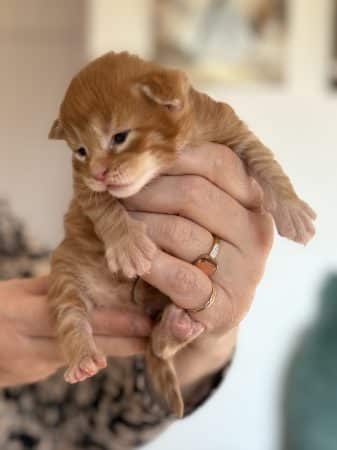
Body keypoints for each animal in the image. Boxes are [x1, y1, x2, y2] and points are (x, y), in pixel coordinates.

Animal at [47, 51, 316, 416]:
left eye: (119, 137)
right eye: (80, 151)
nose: (100, 173)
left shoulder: (230, 128)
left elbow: (266, 163)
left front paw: (293, 210)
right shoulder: (82, 183)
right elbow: (104, 206)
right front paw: (128, 245)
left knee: (158, 346)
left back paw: (174, 327)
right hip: (65, 270)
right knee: (72, 315)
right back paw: (84, 356)